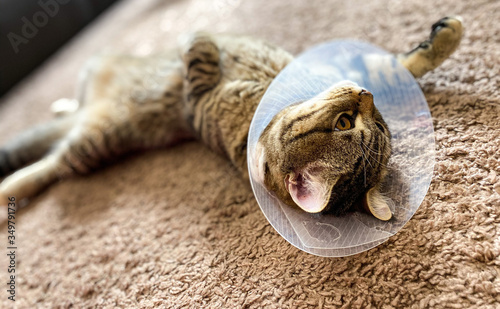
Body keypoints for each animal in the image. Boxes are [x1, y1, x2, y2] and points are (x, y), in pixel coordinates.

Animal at [0, 17, 464, 219]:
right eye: (352, 121)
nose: (363, 95)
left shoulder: (198, 98)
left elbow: (200, 52)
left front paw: (196, 35)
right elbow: (401, 66)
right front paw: (446, 36)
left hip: (92, 145)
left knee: (49, 165)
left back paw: (9, 194)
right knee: (67, 115)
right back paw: (62, 106)